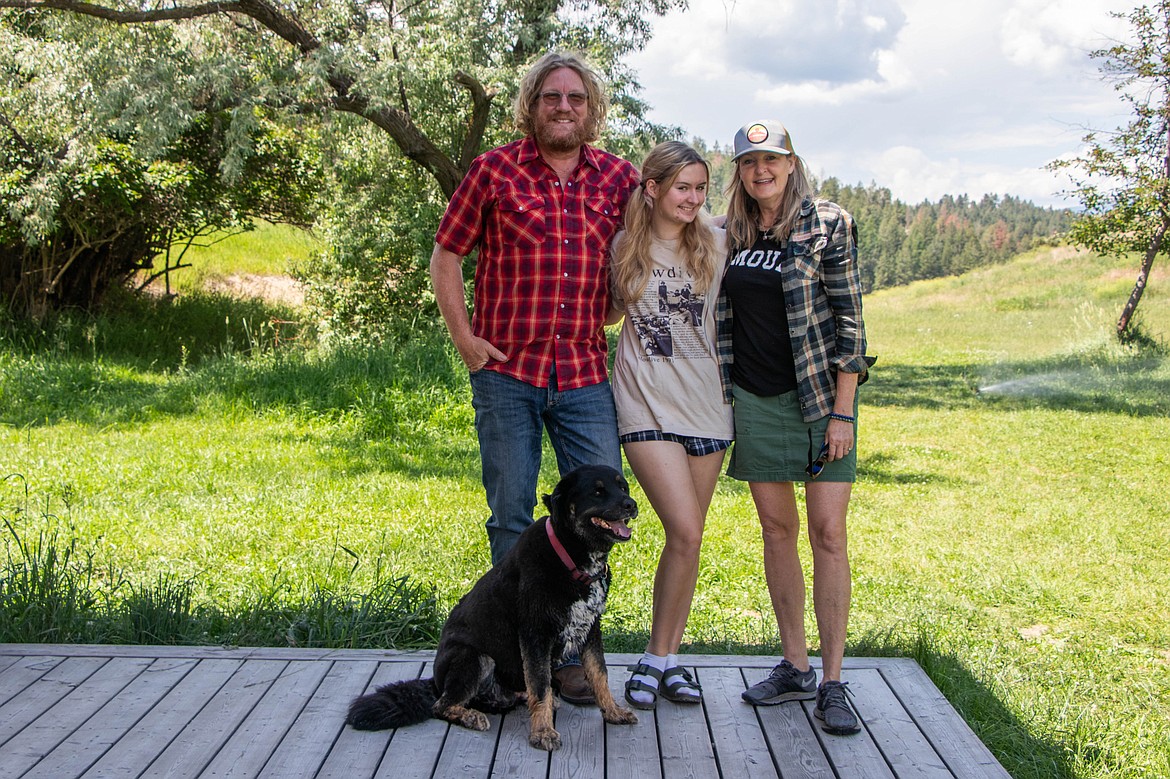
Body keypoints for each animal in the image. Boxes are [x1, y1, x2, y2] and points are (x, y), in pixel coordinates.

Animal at [343, 463, 641, 748]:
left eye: (622, 487)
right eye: (598, 491)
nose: (631, 504)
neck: (570, 556)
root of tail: (436, 683)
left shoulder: (591, 629)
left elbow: (599, 676)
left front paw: (613, 712)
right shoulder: (535, 634)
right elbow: (541, 687)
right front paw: (542, 732)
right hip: (473, 656)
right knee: (442, 705)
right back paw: (471, 716)